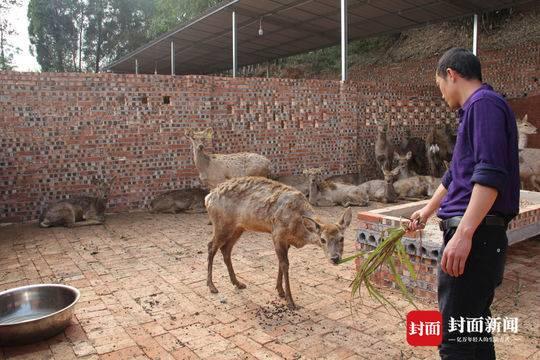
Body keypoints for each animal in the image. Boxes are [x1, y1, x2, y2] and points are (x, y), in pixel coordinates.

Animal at [205, 177, 352, 310]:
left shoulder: (286, 240)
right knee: (211, 246)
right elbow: (285, 264)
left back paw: (238, 283)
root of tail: (208, 198)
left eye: (342, 238)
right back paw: (212, 286)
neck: (297, 230)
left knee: (226, 249)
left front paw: (280, 291)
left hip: (238, 227)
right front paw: (290, 301)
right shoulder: (277, 234)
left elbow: (281, 264)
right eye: (322, 239)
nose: (335, 258)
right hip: (221, 223)